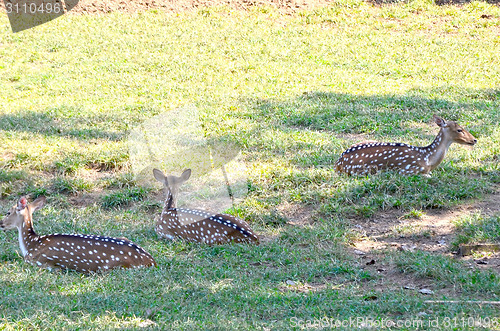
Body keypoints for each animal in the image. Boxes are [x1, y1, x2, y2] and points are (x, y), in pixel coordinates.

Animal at [0, 198, 156, 274]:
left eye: (8, 212)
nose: (1, 223)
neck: (31, 244)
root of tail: (151, 261)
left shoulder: (38, 262)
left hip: (111, 266)